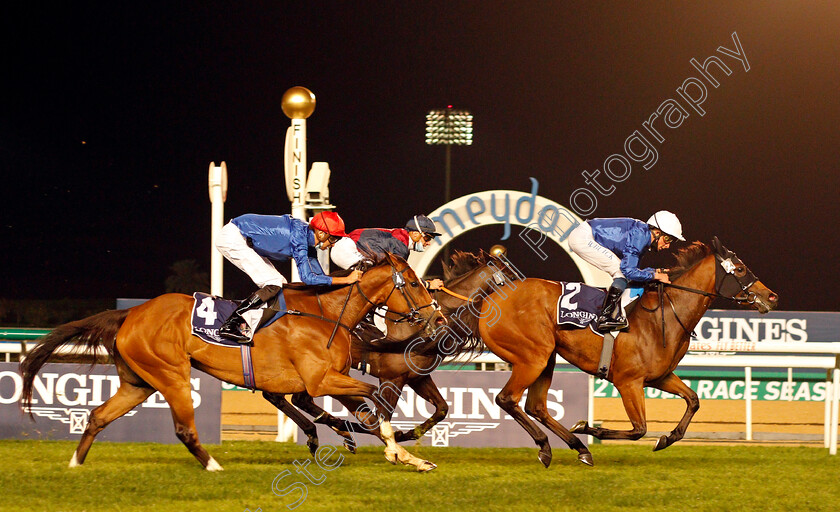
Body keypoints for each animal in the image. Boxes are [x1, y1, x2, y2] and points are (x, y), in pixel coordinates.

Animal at [19, 255, 446, 472]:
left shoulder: (324, 380)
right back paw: (213, 467)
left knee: (98, 416)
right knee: (184, 429)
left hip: (139, 381)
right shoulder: (321, 380)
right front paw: (398, 450)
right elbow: (374, 399)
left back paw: (75, 464)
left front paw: (408, 455)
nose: (438, 319)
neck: (326, 312)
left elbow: (367, 408)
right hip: (172, 375)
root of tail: (131, 313)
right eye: (412, 283)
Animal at [262, 250, 520, 454]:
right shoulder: (391, 377)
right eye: (511, 276)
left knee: (282, 396)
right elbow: (382, 414)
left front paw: (406, 434)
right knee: (291, 396)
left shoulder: (416, 377)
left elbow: (442, 409)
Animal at [476, 238, 776, 466]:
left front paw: (666, 438)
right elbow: (639, 429)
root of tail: (493, 298)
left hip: (546, 357)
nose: (771, 296)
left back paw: (578, 449)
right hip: (532, 357)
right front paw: (588, 427)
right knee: (507, 399)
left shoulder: (660, 377)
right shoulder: (627, 381)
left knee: (535, 405)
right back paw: (548, 446)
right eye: (740, 269)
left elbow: (693, 400)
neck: (664, 316)